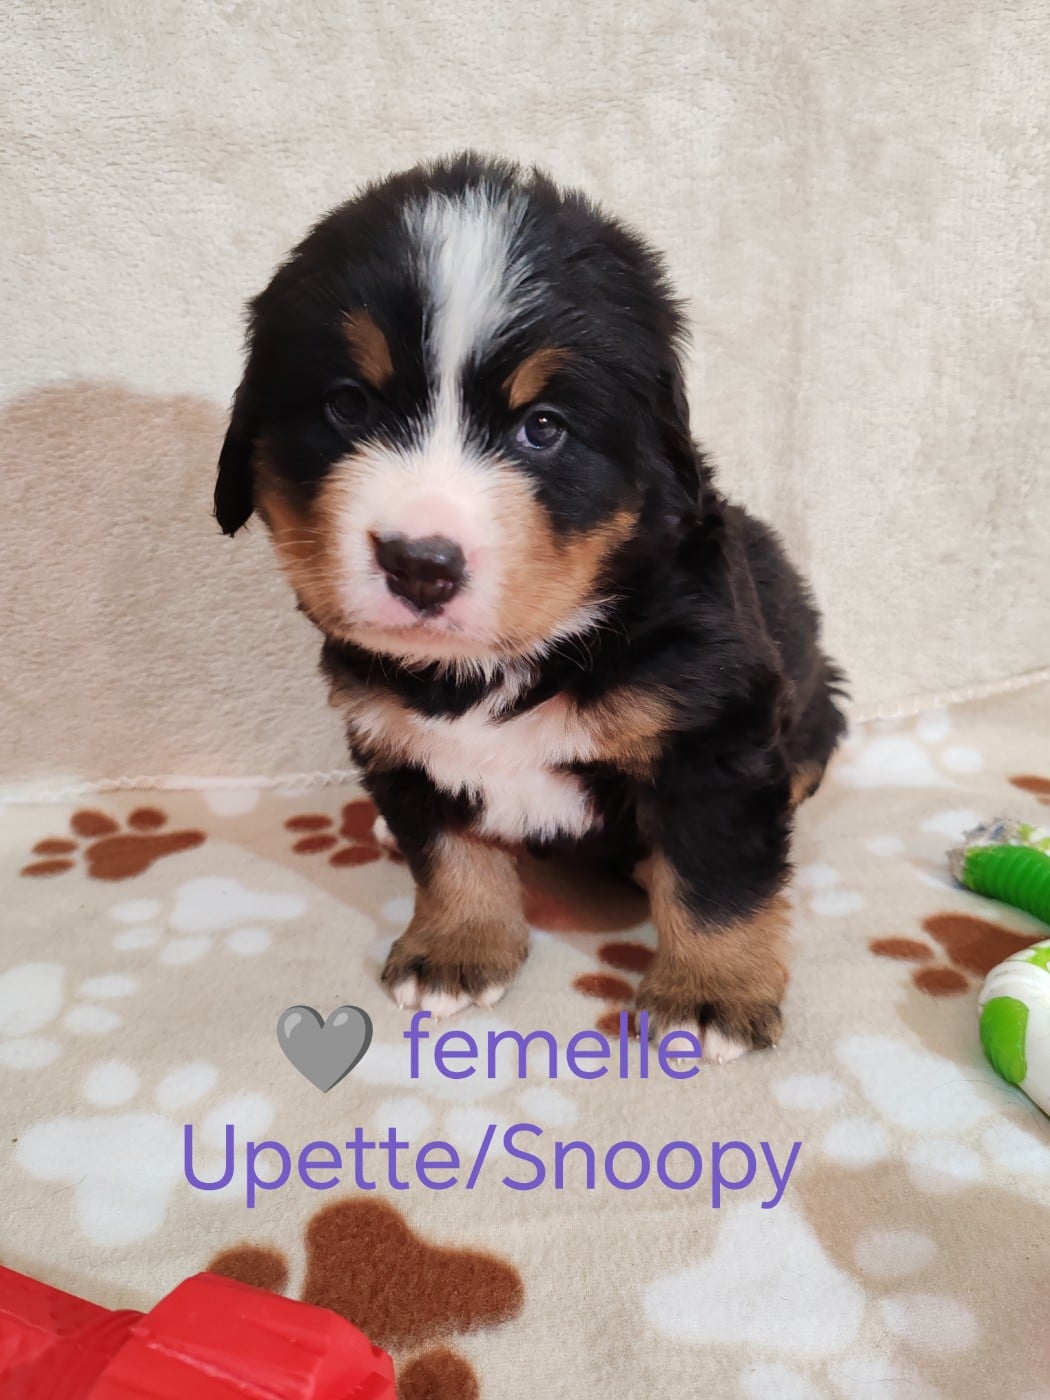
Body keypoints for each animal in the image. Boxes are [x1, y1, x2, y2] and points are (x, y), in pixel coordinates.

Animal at [214, 153, 847, 1062]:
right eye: (348, 405)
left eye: (541, 428)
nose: (420, 564)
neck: (495, 666)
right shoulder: (393, 734)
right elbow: (447, 849)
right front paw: (456, 947)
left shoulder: (710, 732)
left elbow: (715, 875)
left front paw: (709, 994)